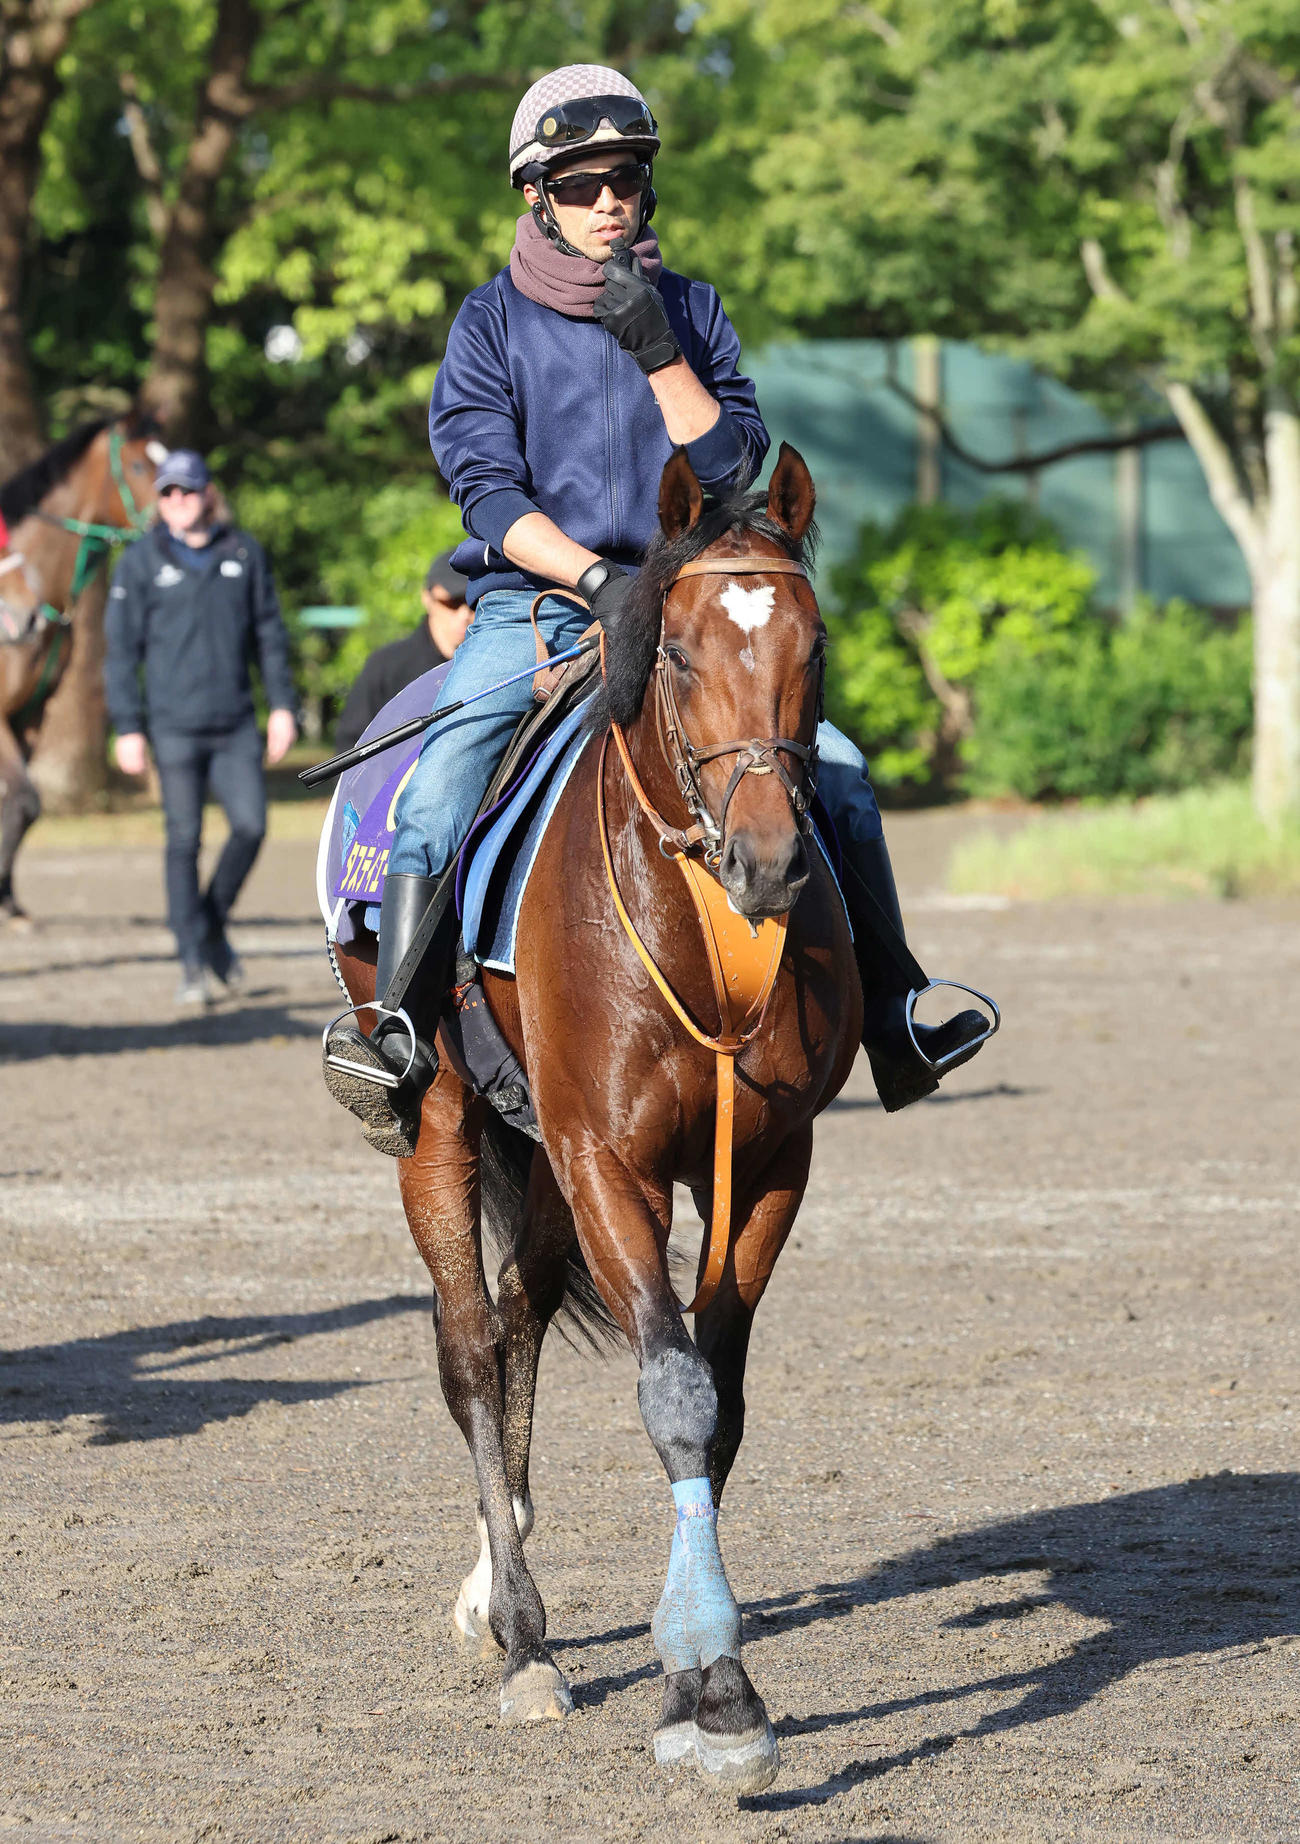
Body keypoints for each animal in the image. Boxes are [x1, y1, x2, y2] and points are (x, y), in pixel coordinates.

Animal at [0, 414, 163, 922]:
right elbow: (22, 797)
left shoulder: (31, 714)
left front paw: (8, 900)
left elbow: (23, 806)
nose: (211, 510)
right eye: (137, 464)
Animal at [332, 442, 859, 1795]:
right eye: (672, 649)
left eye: (815, 643)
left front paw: (692, 1671)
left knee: (517, 1320)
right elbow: (670, 1388)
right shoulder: (607, 1158)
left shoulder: (769, 1165)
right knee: (471, 1343)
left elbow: (717, 1403)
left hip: (547, 1164)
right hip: (444, 1127)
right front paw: (717, 1696)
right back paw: (521, 1635)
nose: (771, 859)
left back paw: (496, 1583)